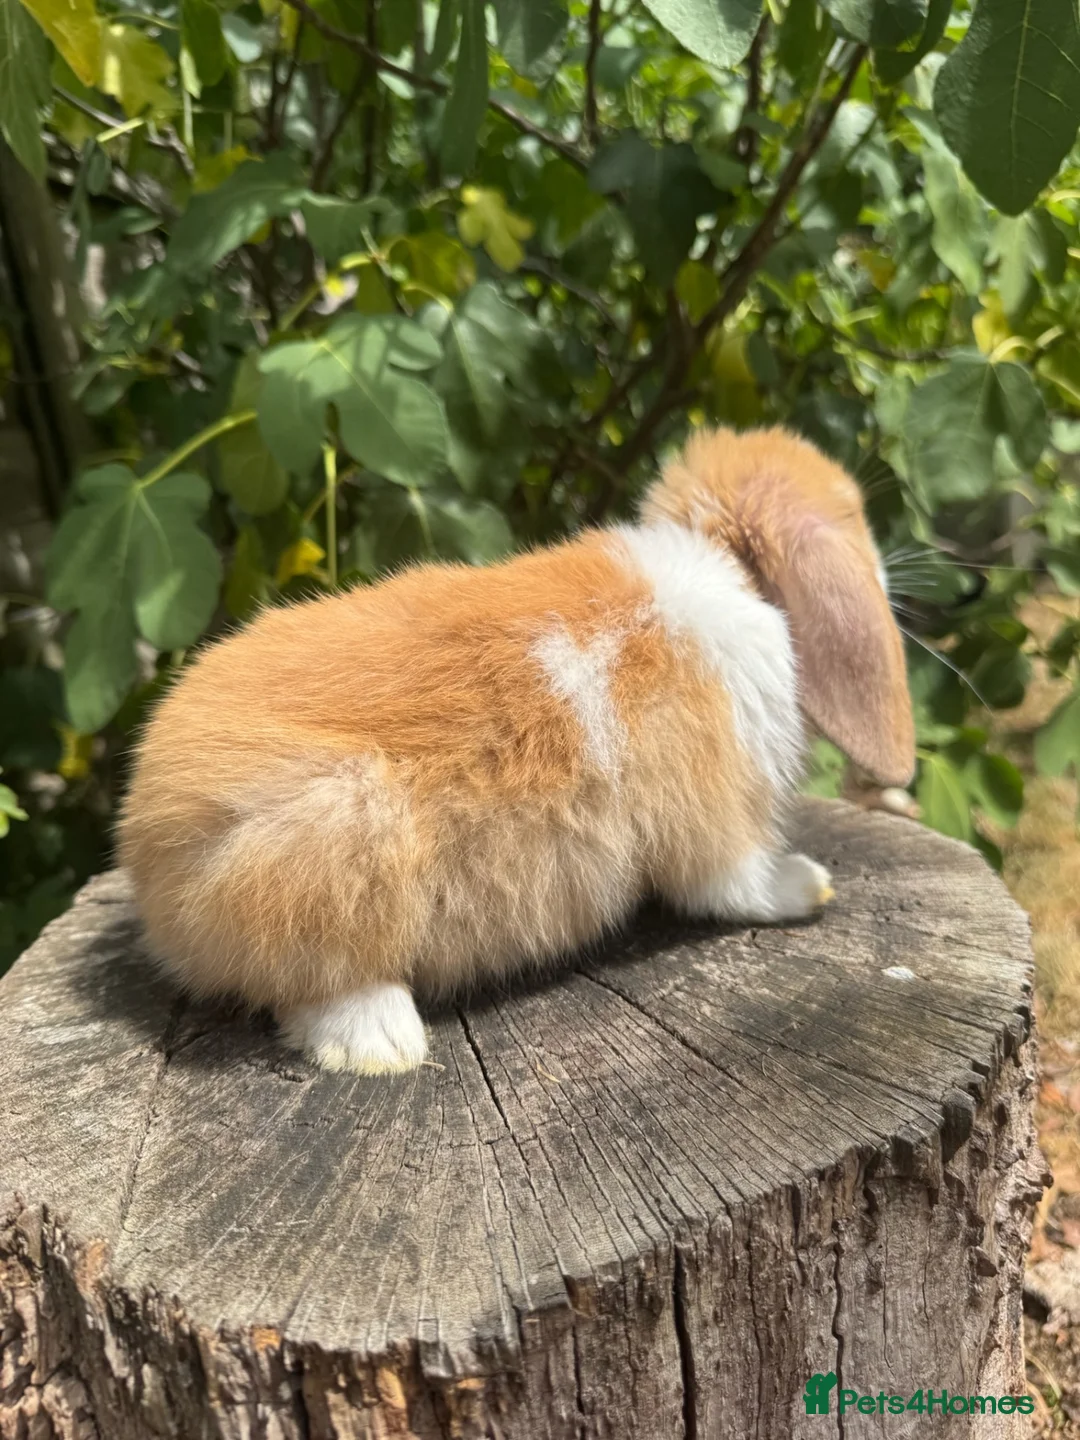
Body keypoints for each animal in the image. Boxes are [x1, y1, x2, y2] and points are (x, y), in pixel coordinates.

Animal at [118, 425, 915, 1075]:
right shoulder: (716, 817)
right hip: (336, 840)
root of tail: (144, 841)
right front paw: (809, 885)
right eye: (855, 517)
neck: (730, 569)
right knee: (316, 990)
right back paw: (388, 1047)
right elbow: (737, 884)